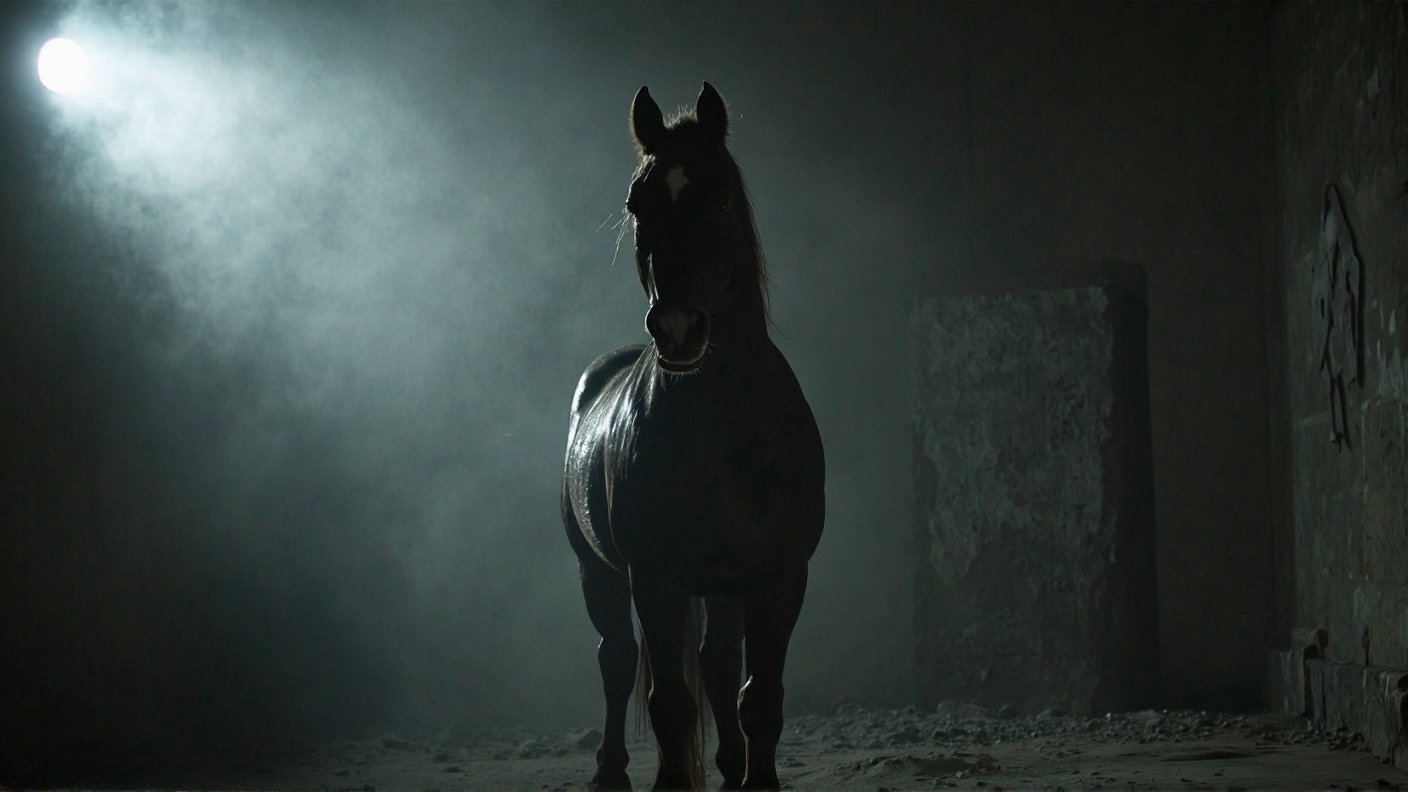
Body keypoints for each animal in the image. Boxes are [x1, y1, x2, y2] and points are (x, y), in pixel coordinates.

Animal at [562, 82, 825, 790]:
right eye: (637, 203)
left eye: (722, 198)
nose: (678, 328)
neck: (727, 428)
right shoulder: (653, 576)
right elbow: (669, 702)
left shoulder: (779, 576)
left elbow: (758, 697)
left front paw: (755, 777)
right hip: (599, 572)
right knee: (618, 660)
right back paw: (612, 772)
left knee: (715, 664)